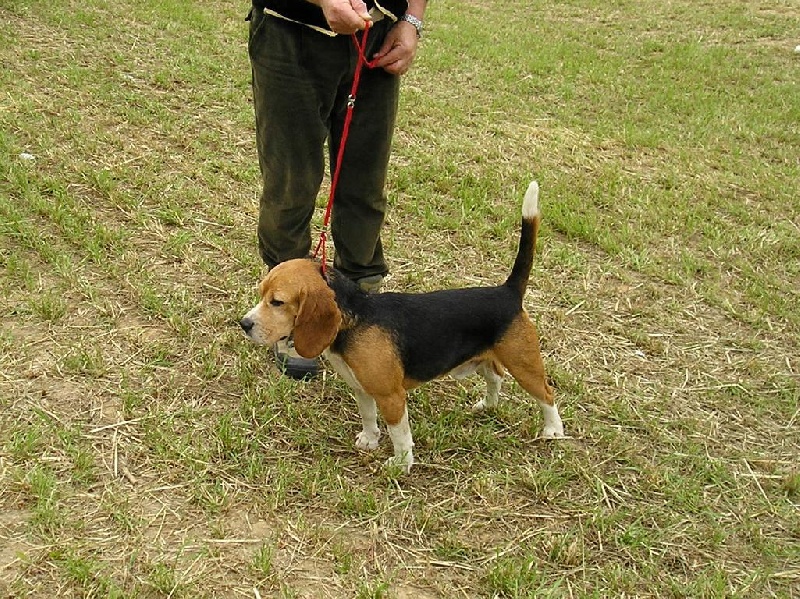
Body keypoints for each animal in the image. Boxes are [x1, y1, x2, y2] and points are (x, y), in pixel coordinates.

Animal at [238, 180, 564, 472]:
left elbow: (399, 434)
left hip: (524, 364)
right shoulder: (361, 388)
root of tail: (507, 291)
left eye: (277, 302)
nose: (244, 324)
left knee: (547, 395)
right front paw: (369, 440)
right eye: (262, 294)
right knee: (495, 376)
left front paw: (401, 464)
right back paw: (488, 405)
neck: (354, 316)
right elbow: (368, 416)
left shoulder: (391, 396)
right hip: (485, 357)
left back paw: (554, 431)